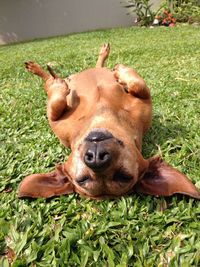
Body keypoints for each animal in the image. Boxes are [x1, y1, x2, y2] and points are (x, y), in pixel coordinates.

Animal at [19, 44, 200, 200]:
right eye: (82, 179)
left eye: (123, 176)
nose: (96, 158)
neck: (102, 116)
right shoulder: (57, 121)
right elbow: (56, 105)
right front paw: (57, 85)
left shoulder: (144, 102)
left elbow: (138, 85)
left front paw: (122, 71)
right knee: (49, 81)